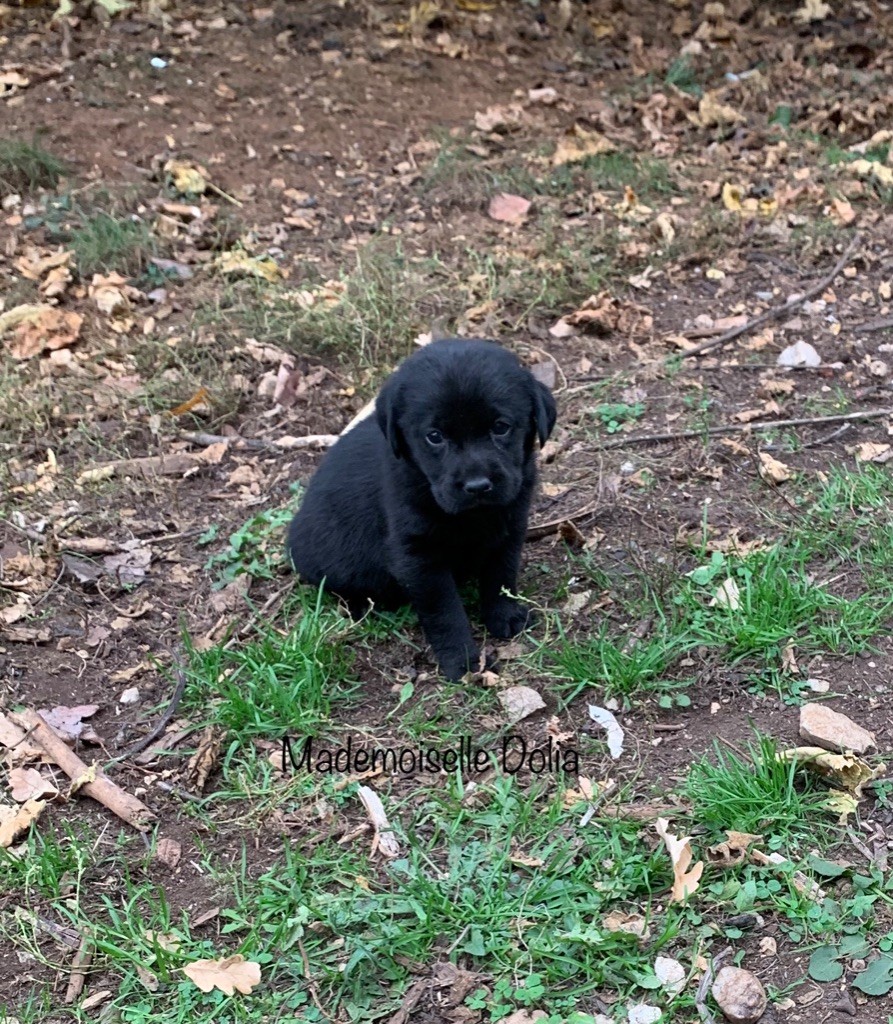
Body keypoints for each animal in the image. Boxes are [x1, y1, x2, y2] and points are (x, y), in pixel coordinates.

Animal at [286, 339, 553, 684]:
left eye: (501, 427)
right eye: (434, 436)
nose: (477, 486)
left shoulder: (509, 530)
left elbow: (501, 576)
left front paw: (504, 615)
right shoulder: (418, 558)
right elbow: (445, 613)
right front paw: (463, 661)